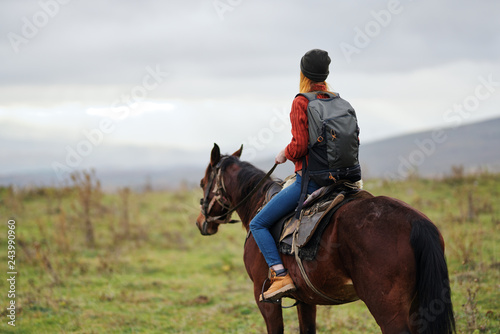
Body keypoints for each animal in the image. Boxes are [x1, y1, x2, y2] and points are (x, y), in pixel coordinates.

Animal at [195, 144, 458, 334]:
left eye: (202, 183)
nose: (200, 222)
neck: (258, 204)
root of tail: (416, 222)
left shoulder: (266, 301)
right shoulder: (305, 299)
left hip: (388, 310)